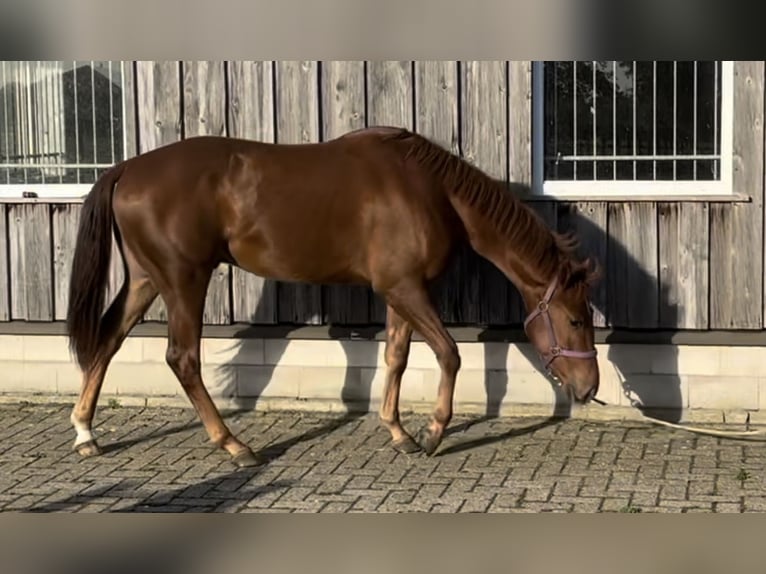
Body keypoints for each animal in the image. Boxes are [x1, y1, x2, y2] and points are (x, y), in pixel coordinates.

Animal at [67, 126, 600, 468]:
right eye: (576, 320)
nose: (589, 388)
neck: (430, 189)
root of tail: (126, 169)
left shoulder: (400, 290)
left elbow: (397, 357)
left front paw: (399, 432)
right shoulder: (406, 288)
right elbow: (449, 354)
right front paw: (432, 433)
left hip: (145, 279)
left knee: (108, 340)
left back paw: (86, 432)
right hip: (184, 280)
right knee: (183, 359)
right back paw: (235, 446)